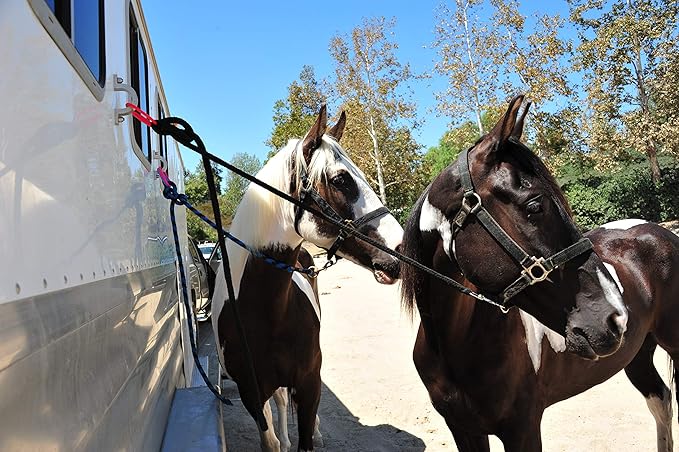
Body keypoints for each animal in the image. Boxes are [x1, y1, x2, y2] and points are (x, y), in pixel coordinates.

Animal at [211, 105, 403, 452]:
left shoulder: (309, 382)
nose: (400, 249)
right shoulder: (251, 394)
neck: (266, 313)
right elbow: (270, 435)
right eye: (341, 180)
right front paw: (282, 441)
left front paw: (310, 434)